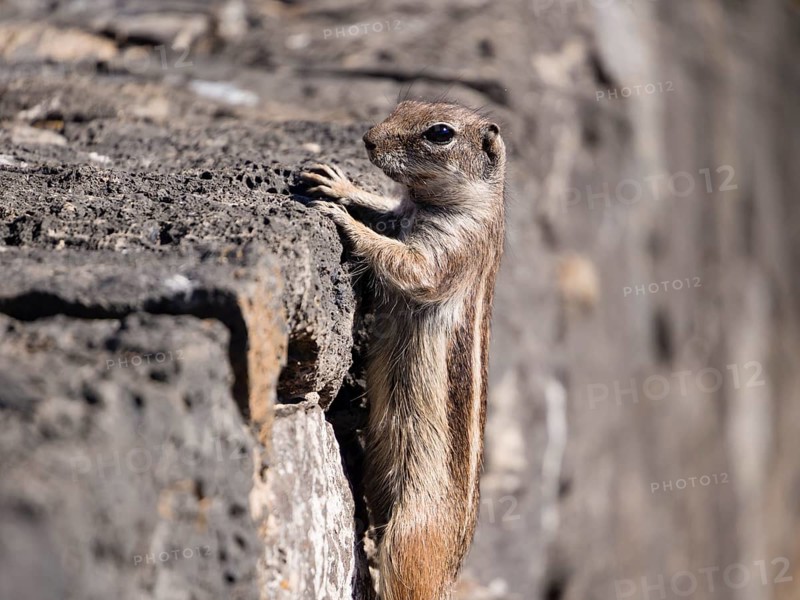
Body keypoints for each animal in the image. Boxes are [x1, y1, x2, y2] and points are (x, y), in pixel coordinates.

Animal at [302, 100, 506, 600]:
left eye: (440, 133)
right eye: (403, 106)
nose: (368, 139)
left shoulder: (450, 251)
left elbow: (406, 264)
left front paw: (344, 220)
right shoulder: (403, 211)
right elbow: (386, 208)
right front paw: (339, 184)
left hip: (411, 540)